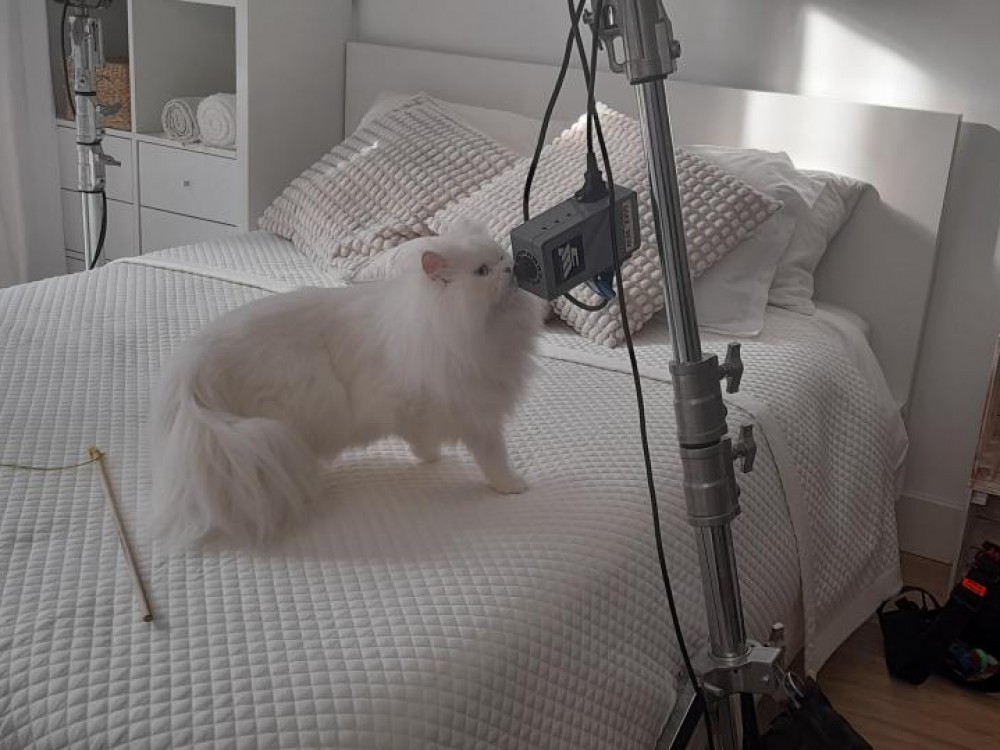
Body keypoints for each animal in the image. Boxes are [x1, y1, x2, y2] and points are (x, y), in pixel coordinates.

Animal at [147, 223, 544, 548]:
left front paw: (431, 459)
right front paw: (513, 486)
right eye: (482, 271)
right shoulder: (472, 413)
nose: (511, 268)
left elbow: (424, 440)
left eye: (502, 255)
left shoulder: (435, 409)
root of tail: (191, 367)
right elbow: (492, 459)